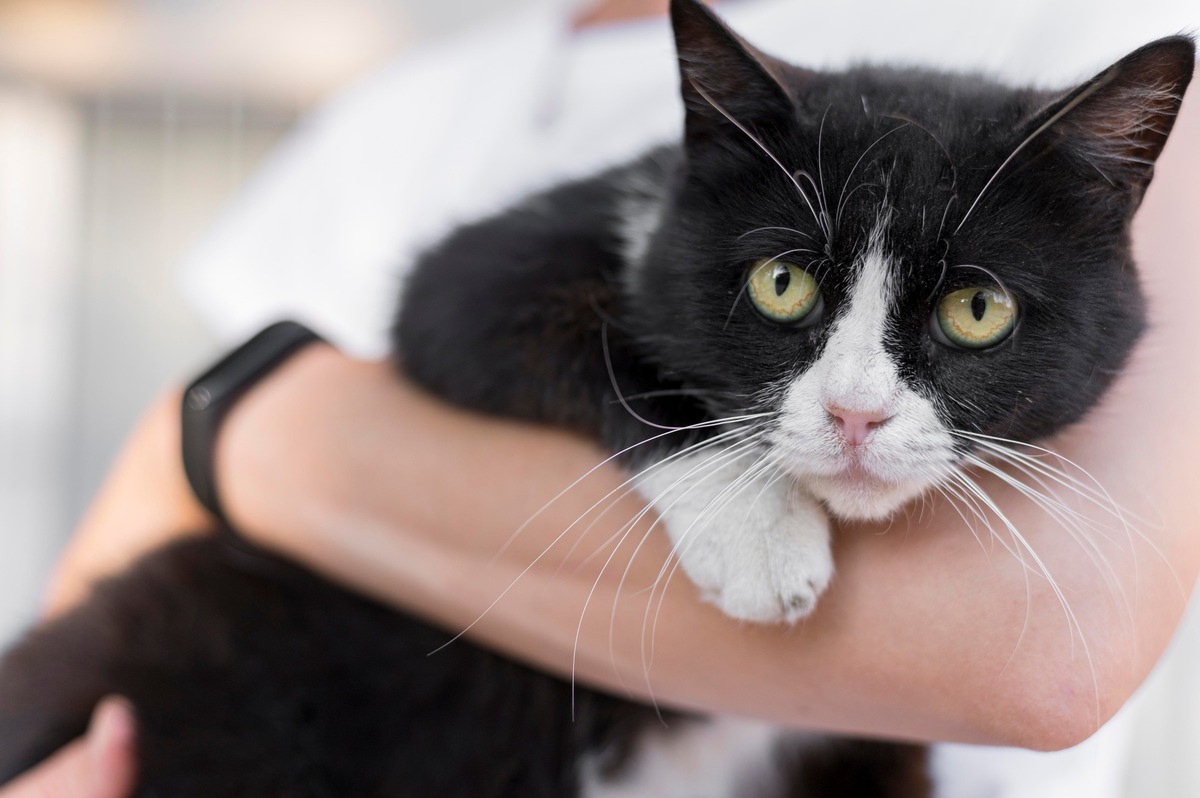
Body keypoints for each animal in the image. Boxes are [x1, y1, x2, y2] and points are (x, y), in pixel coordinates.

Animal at [0, 0, 1190, 792]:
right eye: (782, 283)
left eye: (977, 310)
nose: (858, 415)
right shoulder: (471, 284)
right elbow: (578, 333)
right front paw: (756, 533)